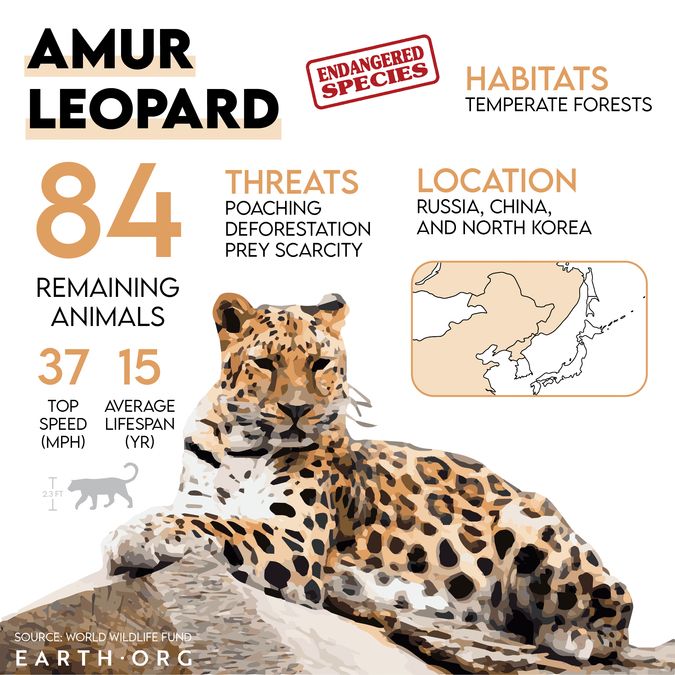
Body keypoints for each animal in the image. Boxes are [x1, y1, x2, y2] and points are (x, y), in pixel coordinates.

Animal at [105, 292, 650, 673]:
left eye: (320, 364)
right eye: (265, 363)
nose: (298, 410)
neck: (243, 445)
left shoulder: (295, 541)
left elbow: (220, 526)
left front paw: (134, 536)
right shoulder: (203, 497)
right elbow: (198, 513)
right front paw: (135, 533)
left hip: (533, 525)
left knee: (619, 606)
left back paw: (571, 636)